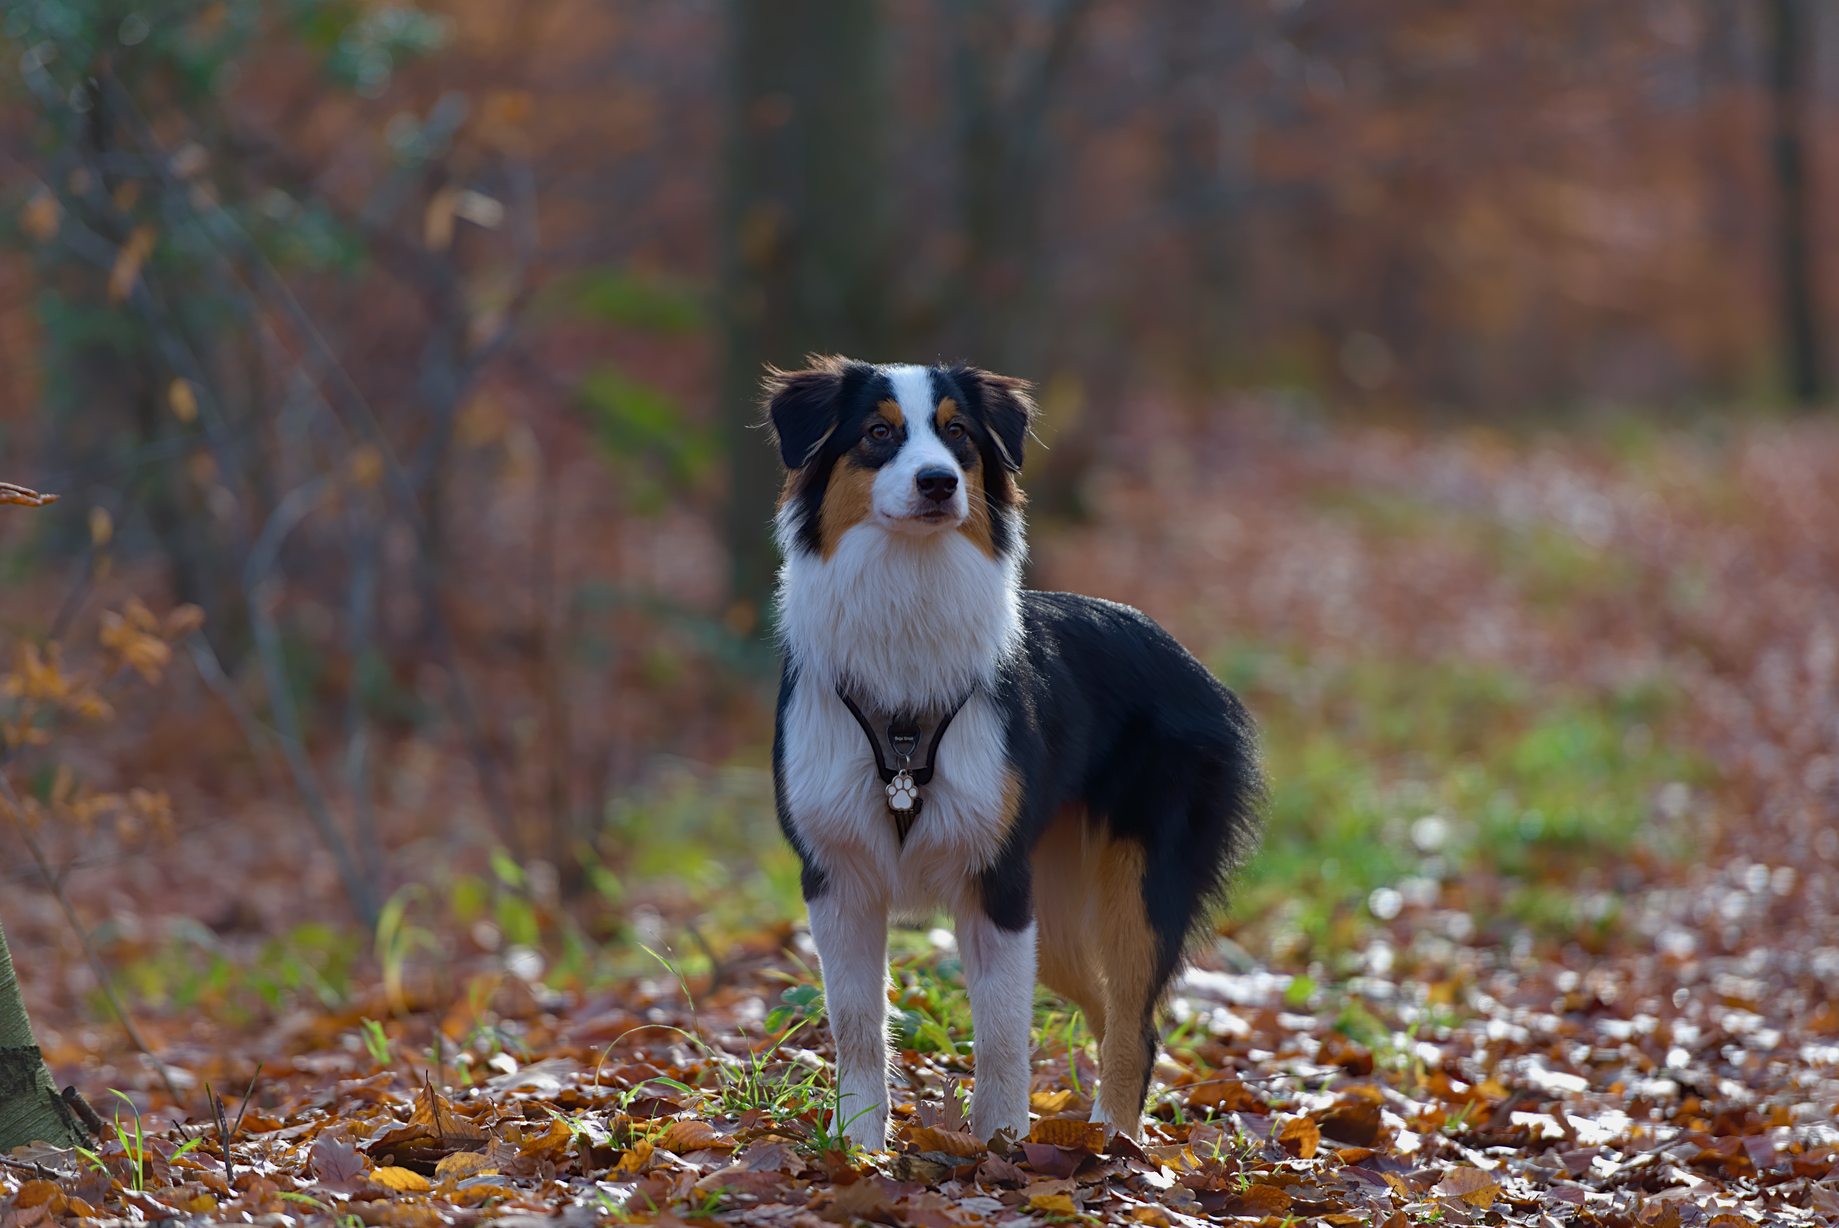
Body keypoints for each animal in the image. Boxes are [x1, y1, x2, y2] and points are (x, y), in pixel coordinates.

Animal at [761, 354, 1265, 1154]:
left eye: (958, 434)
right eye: (878, 433)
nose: (939, 481)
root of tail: (1189, 662)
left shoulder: (995, 882)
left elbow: (1000, 1035)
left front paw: (999, 1145)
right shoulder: (836, 877)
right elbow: (857, 1028)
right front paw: (858, 1152)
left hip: (1134, 886)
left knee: (1134, 1026)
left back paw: (1115, 1149)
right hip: (1053, 912)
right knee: (1110, 1012)